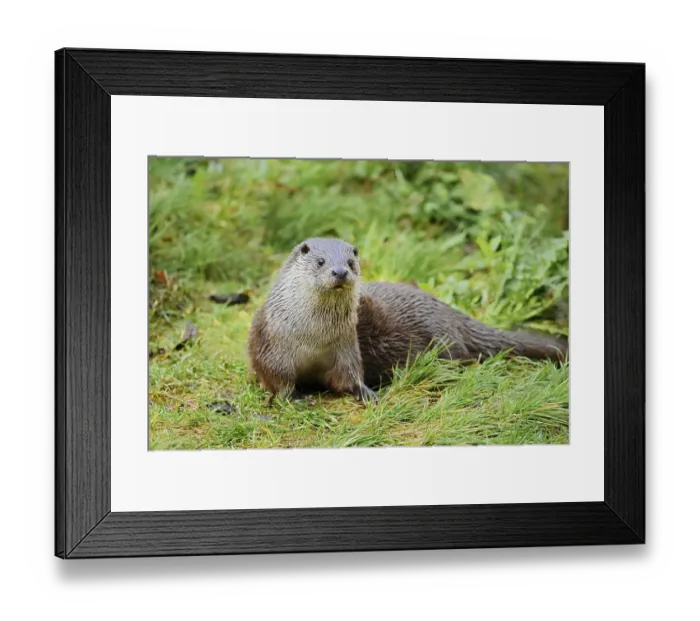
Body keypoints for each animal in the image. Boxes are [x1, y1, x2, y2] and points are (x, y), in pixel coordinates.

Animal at [248, 238, 567, 404]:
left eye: (351, 262)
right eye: (321, 262)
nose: (340, 272)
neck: (312, 336)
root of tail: (450, 312)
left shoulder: (346, 348)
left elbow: (349, 377)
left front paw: (367, 393)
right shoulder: (271, 348)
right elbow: (278, 380)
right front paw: (295, 397)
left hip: (444, 340)